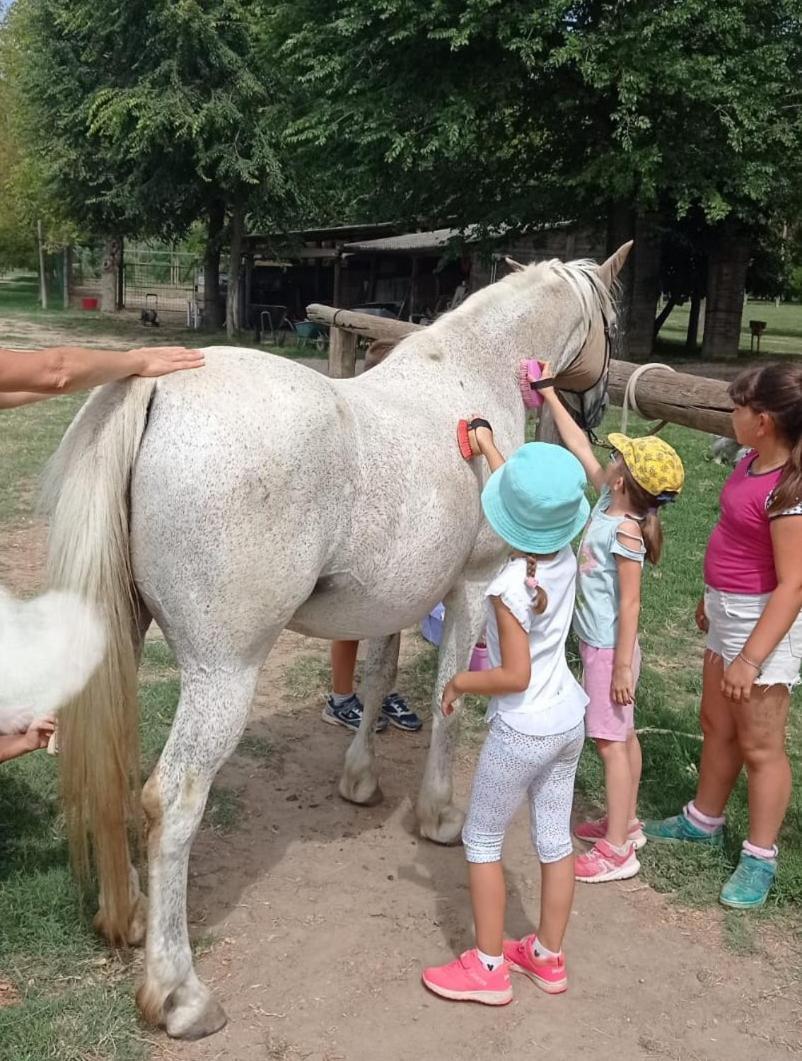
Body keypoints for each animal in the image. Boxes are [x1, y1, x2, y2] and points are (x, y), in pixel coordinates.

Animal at [46, 244, 628, 1039]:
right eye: (616, 320)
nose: (596, 410)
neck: (471, 370)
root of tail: (157, 386)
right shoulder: (471, 588)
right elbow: (446, 697)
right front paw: (438, 815)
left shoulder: (392, 598)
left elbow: (380, 676)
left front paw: (359, 780)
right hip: (223, 674)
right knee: (172, 799)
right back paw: (179, 993)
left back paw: (128, 915)